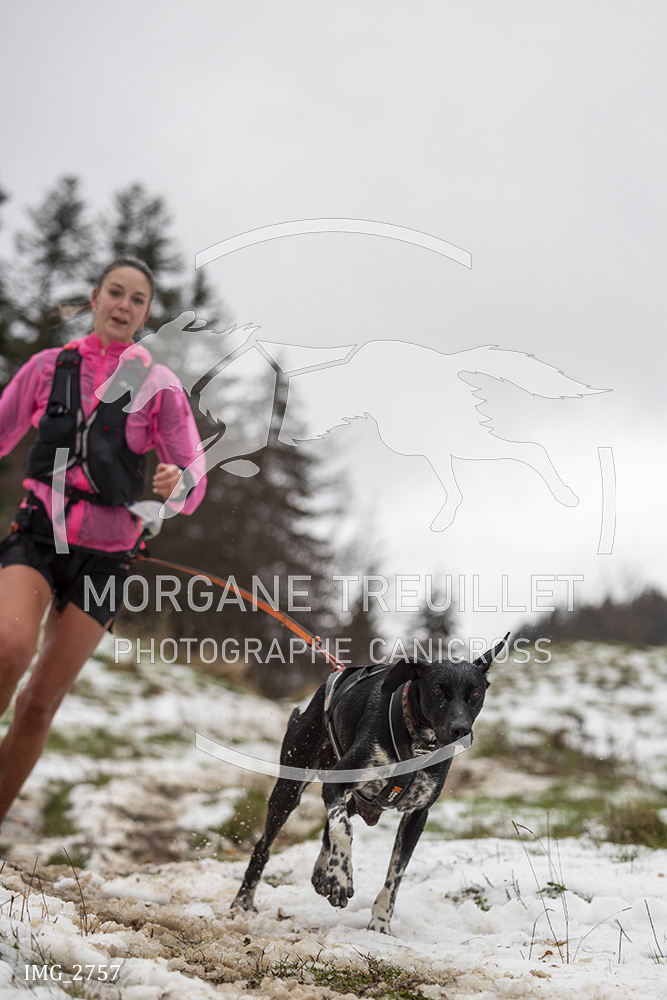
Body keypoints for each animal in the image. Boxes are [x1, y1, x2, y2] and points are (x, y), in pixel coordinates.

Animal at [232, 633, 508, 934]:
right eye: (437, 690)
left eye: (475, 694)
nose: (461, 730)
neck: (416, 741)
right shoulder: (334, 785)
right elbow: (343, 829)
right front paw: (340, 877)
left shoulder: (417, 814)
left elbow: (395, 873)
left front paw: (380, 923)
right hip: (290, 788)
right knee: (265, 845)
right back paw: (243, 901)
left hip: (359, 799)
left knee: (328, 828)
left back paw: (323, 873)